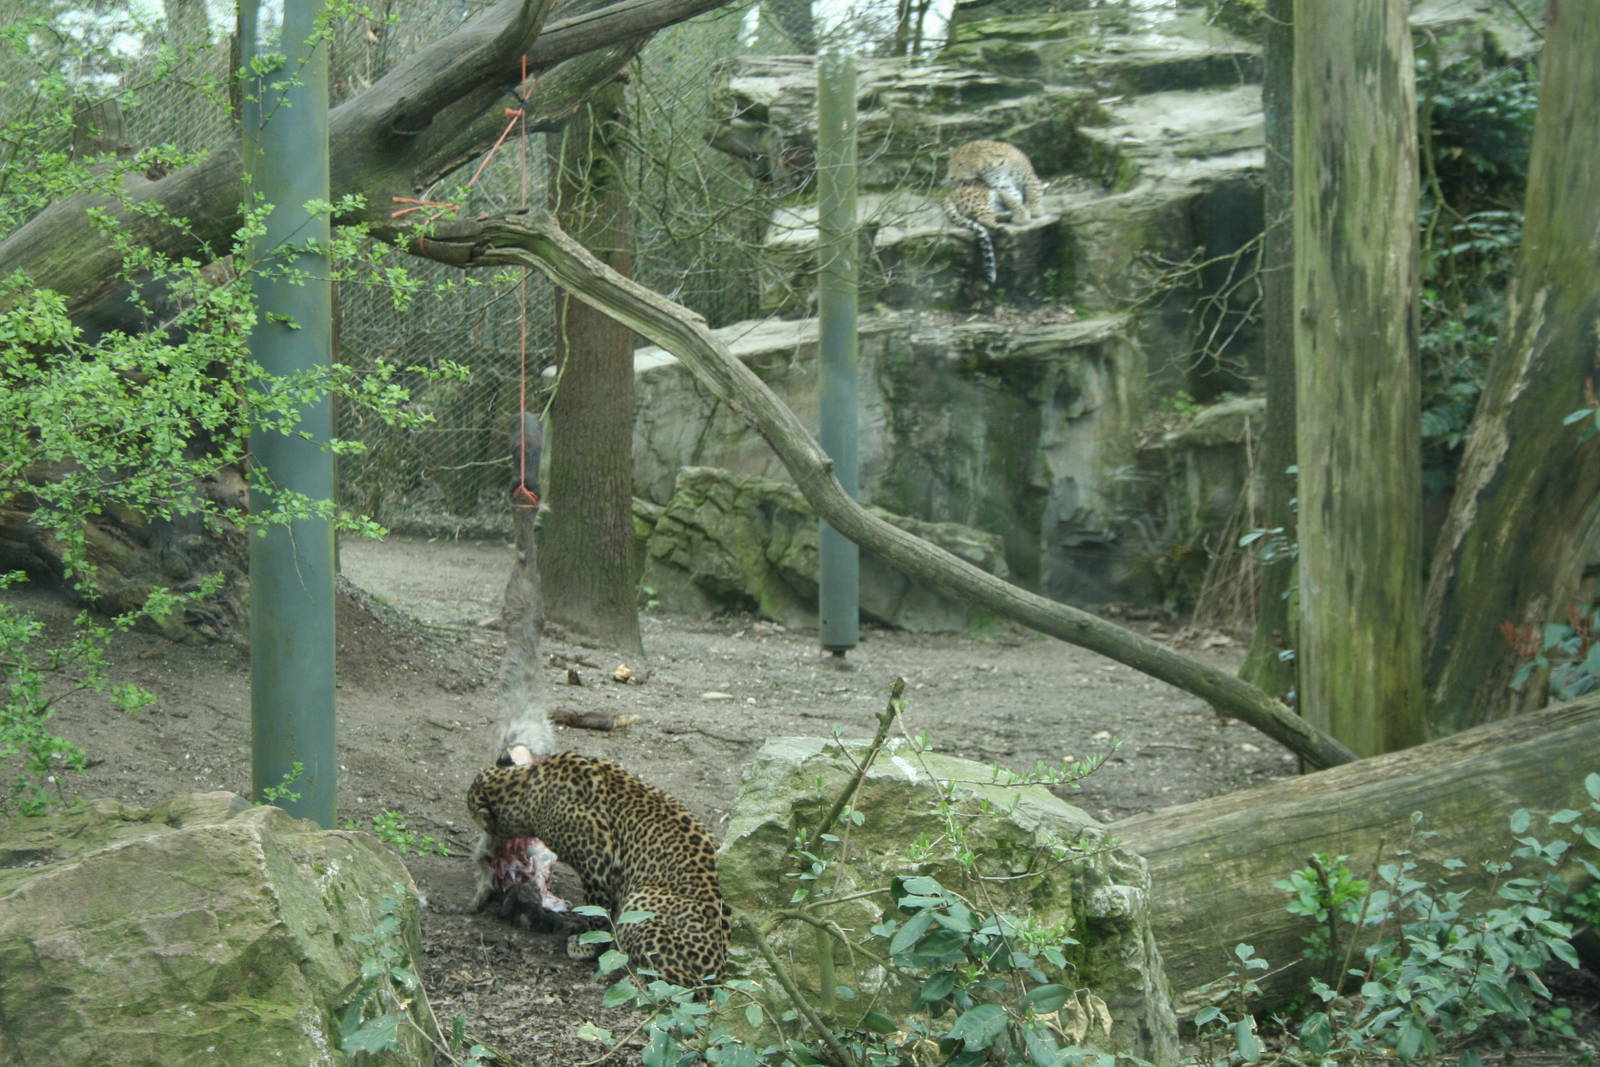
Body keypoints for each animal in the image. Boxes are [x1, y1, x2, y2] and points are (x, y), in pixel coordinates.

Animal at [466, 750, 731, 993]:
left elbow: (598, 914)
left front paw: (586, 946)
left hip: (642, 900)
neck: (529, 787)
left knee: (678, 983)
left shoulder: (596, 865)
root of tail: (719, 972)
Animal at [942, 139, 1045, 284]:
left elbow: (1033, 192)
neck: (992, 165)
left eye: (960, 164)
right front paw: (1021, 215)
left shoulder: (1027, 176)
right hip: (979, 199)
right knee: (983, 219)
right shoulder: (1001, 186)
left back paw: (1007, 217)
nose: (950, 178)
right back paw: (1003, 228)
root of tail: (947, 195)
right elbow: (1013, 200)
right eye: (949, 165)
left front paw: (1034, 209)